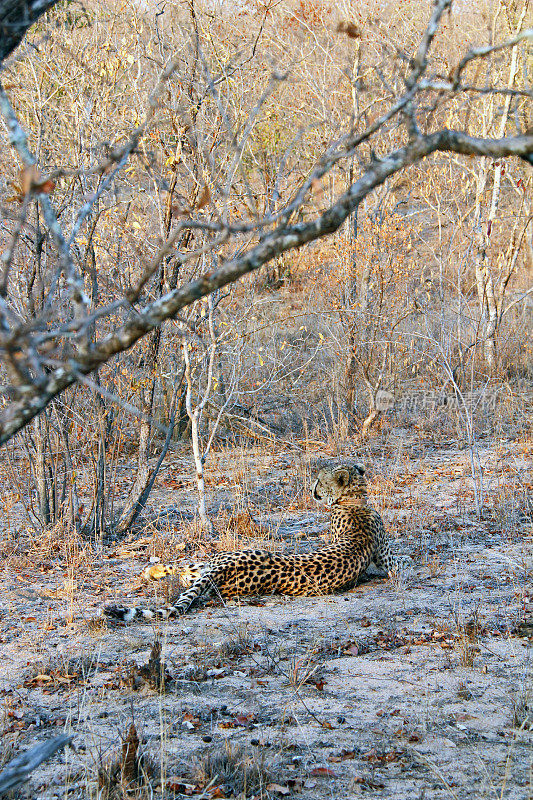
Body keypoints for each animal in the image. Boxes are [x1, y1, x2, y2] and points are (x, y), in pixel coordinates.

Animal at [105, 462, 408, 620]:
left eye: (320, 481)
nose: (312, 488)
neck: (354, 500)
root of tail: (223, 568)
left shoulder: (384, 557)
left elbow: (398, 565)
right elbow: (398, 564)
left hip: (219, 563)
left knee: (186, 572)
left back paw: (151, 571)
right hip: (221, 563)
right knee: (186, 573)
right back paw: (151, 571)